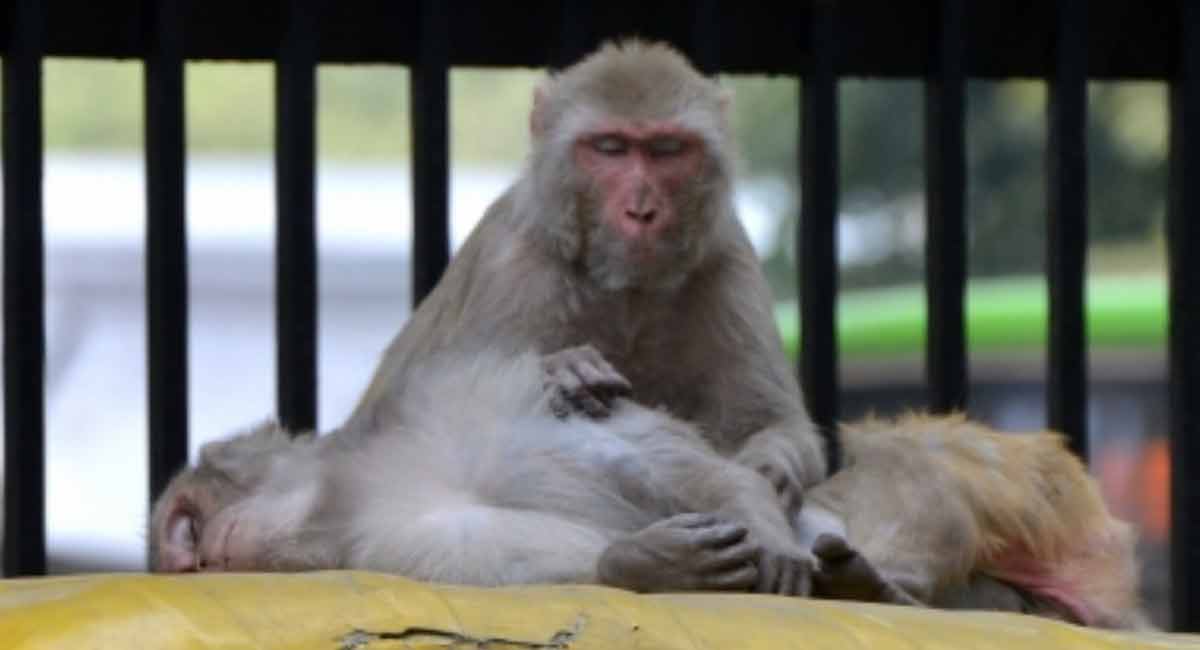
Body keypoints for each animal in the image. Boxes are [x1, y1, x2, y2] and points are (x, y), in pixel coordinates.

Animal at [151, 348, 1147, 630]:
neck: (357, 486)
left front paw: (767, 539)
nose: (185, 557)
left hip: (1026, 488)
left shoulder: (465, 391)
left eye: (182, 522)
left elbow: (651, 459)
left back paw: (877, 583)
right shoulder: (380, 540)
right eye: (177, 551)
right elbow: (510, 558)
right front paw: (649, 565)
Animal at [338, 39, 824, 522]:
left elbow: (773, 424)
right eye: (610, 148)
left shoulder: (729, 262)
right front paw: (565, 367)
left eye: (667, 149)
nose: (641, 210)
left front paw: (772, 467)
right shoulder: (512, 267)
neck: (626, 289)